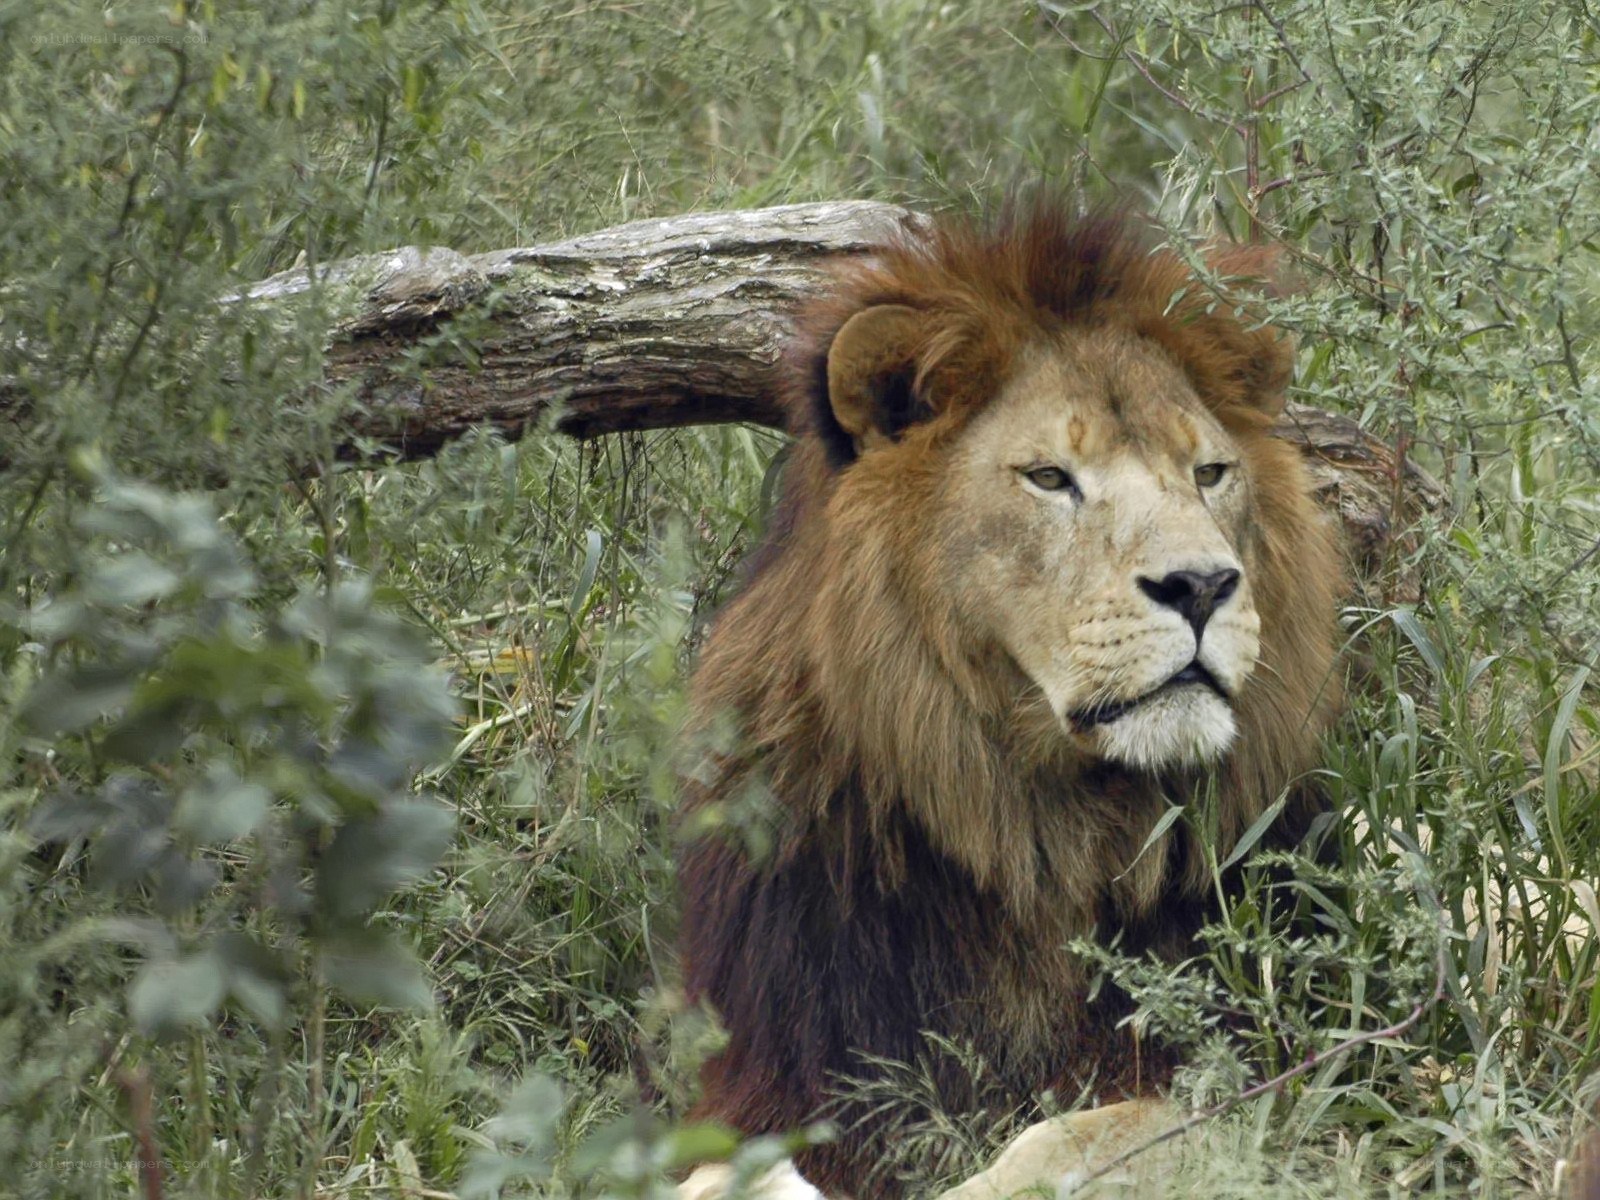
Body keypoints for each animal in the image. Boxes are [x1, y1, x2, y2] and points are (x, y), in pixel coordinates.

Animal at [674, 200, 1343, 1199]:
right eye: (1050, 478)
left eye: (1210, 475)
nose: (1201, 585)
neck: (1034, 826)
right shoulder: (782, 1078)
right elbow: (721, 1171)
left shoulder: (1275, 1082)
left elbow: (1077, 1141)